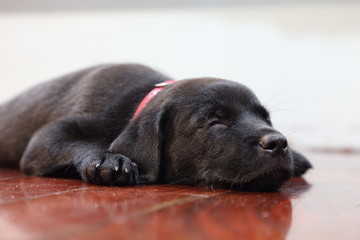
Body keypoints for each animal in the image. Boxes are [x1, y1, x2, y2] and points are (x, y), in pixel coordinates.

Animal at [0, 63, 310, 191]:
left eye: (266, 119)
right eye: (215, 122)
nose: (278, 143)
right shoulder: (49, 136)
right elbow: (83, 143)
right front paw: (108, 160)